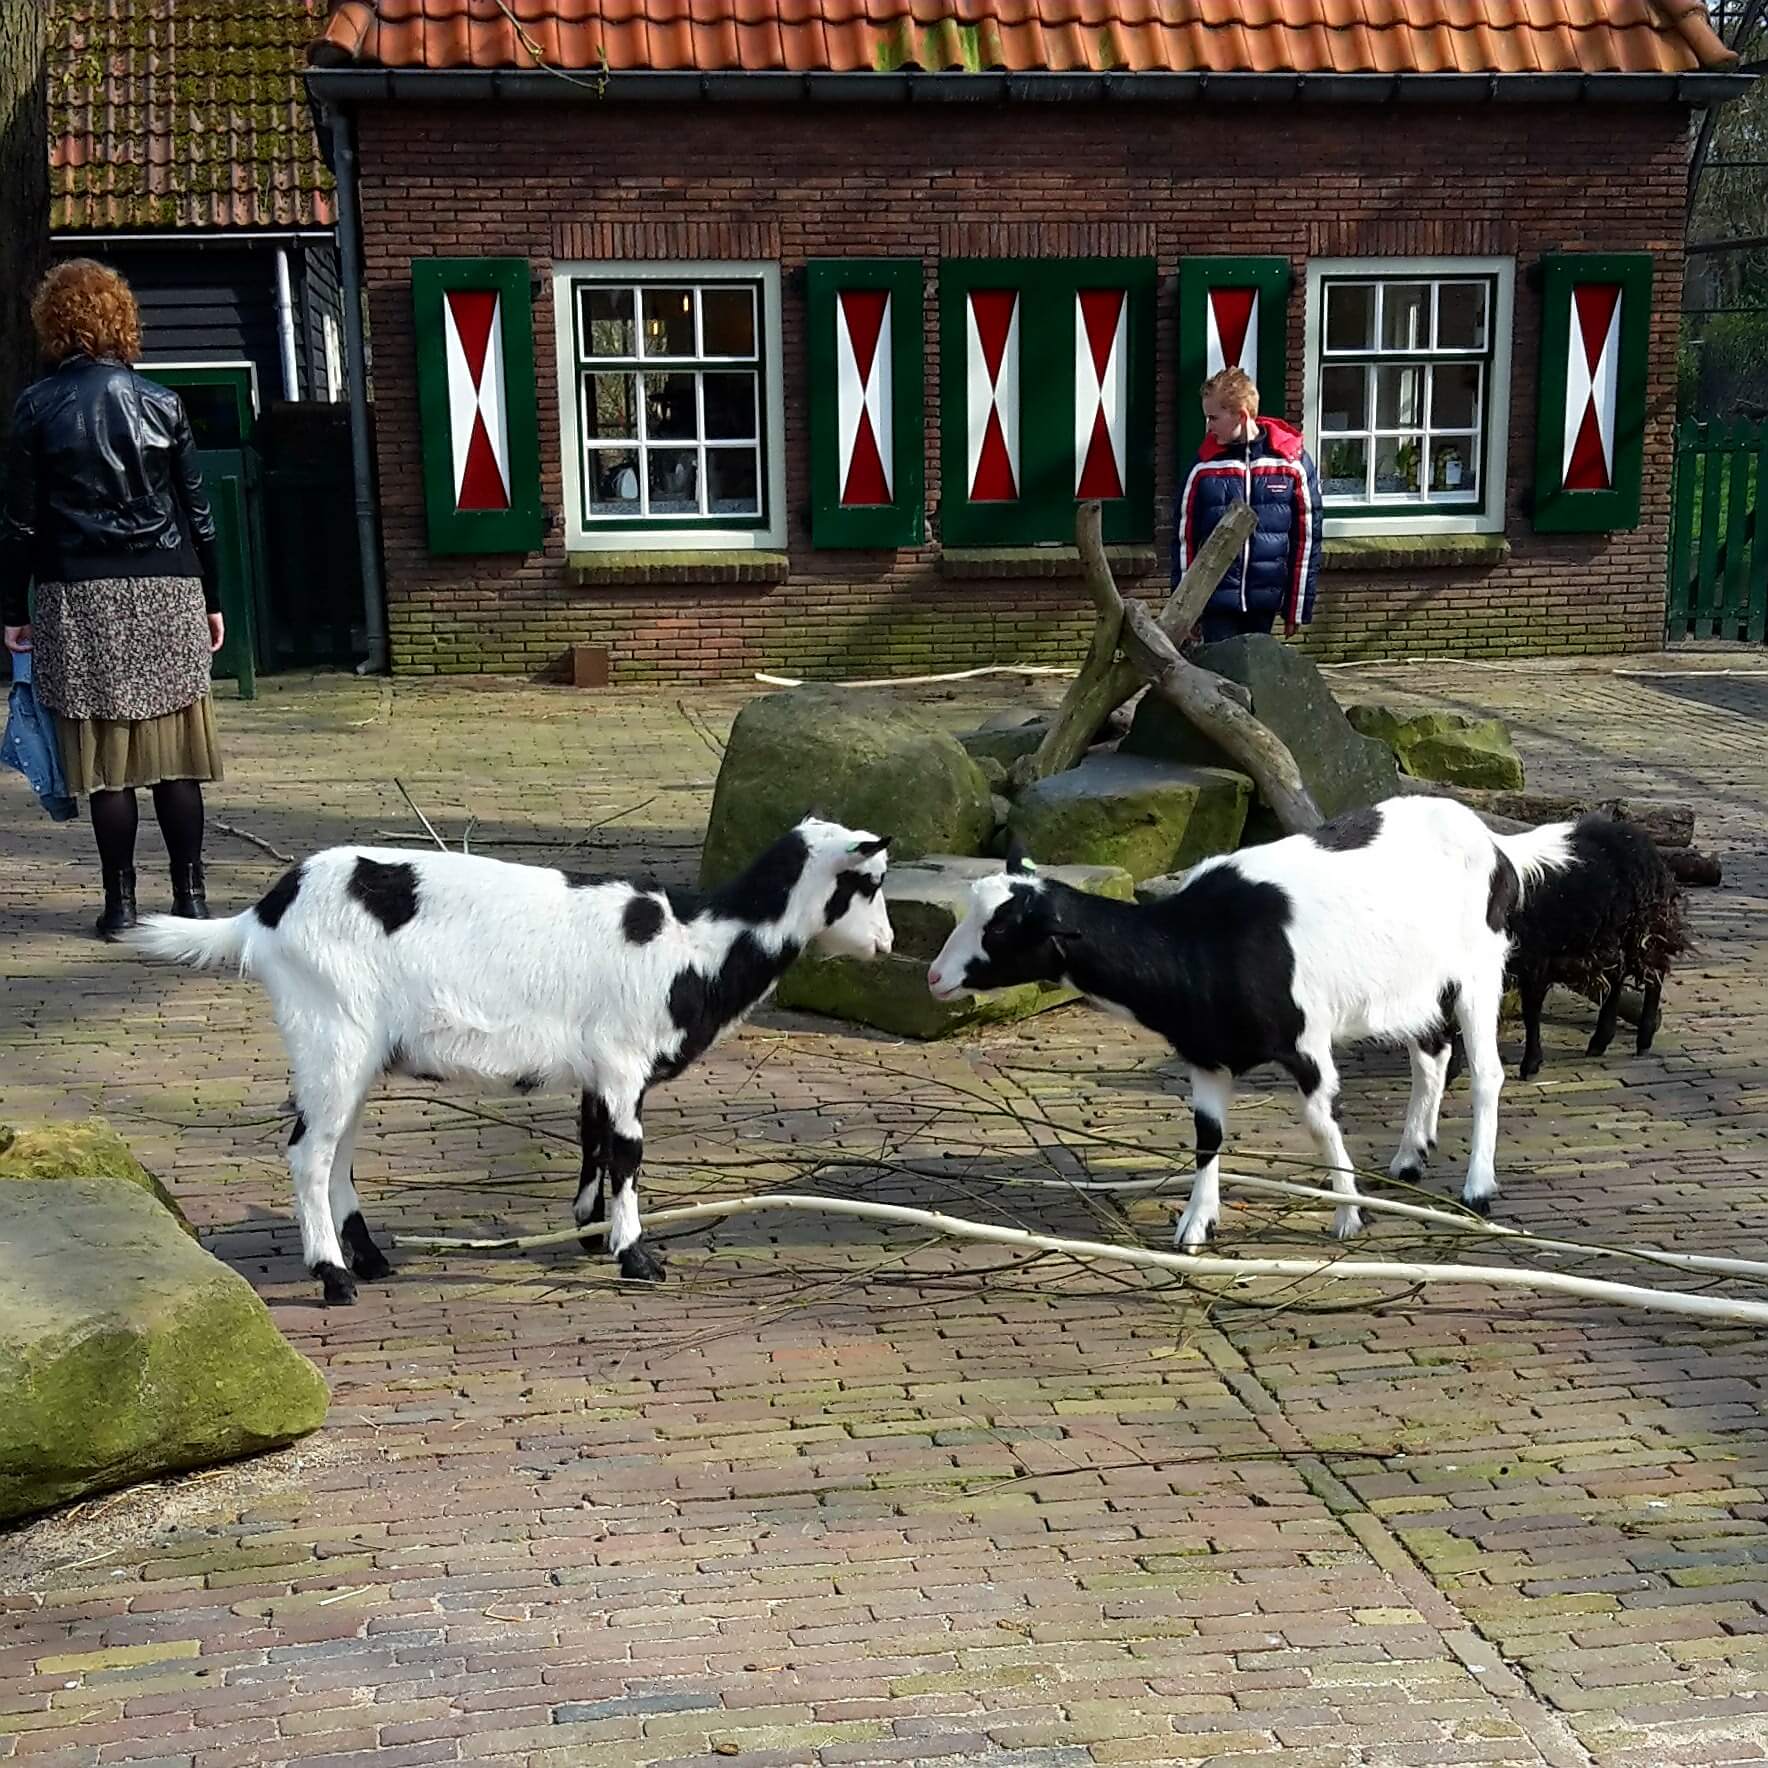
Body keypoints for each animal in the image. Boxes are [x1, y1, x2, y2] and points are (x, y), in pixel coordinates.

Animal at [130, 813, 891, 1301]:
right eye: (871, 881)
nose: (886, 945)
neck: (695, 944)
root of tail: (264, 912)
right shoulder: (623, 1059)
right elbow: (628, 1152)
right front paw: (636, 1256)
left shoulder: (601, 1071)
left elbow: (593, 1140)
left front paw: (590, 1233)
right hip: (329, 1032)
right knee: (308, 1154)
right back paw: (333, 1276)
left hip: (356, 1051)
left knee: (336, 1148)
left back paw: (370, 1261)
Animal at [926, 802, 1562, 1244]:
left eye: (1002, 927)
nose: (934, 977)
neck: (1200, 942)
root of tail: (1496, 844)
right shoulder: (1206, 1055)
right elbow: (1207, 1136)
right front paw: (1195, 1227)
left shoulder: (1307, 1045)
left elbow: (1320, 1124)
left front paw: (1348, 1216)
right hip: (1413, 987)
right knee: (1431, 1053)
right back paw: (1410, 1157)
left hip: (1480, 969)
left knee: (1485, 1074)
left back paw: (1478, 1189)